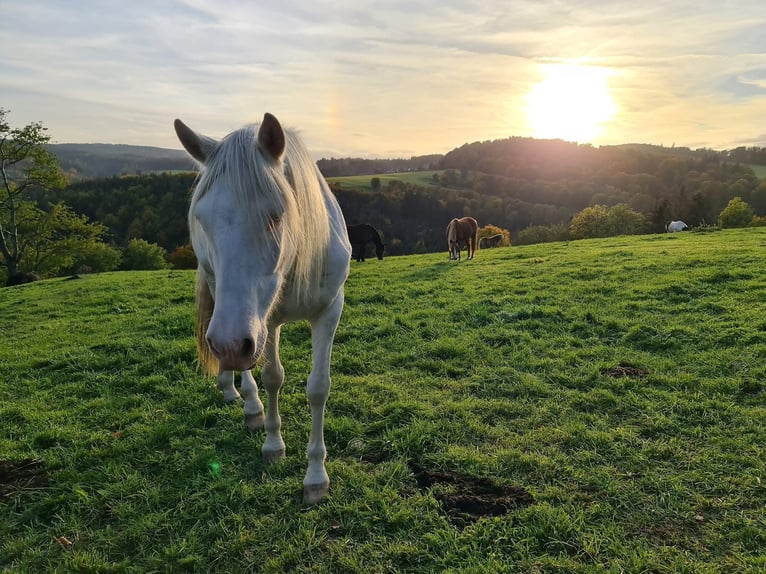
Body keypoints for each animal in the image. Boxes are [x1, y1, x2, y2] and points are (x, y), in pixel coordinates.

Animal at [175, 113, 352, 504]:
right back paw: (244, 400)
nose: (228, 345)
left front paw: (316, 475)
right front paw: (274, 444)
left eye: (276, 215)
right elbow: (273, 378)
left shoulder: (329, 311)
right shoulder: (265, 323)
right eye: (202, 219)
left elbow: (319, 388)